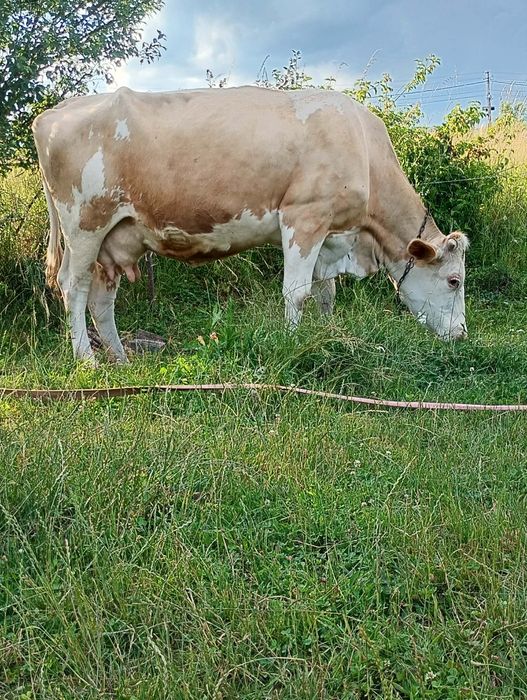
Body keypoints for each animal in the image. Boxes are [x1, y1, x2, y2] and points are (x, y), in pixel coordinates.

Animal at [32, 86, 468, 363]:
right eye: (454, 280)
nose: (462, 334)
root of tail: (53, 113)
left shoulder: (330, 234)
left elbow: (326, 294)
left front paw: (330, 335)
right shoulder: (304, 216)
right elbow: (297, 293)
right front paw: (294, 344)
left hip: (115, 238)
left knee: (101, 301)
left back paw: (121, 360)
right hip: (85, 223)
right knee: (73, 287)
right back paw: (86, 360)